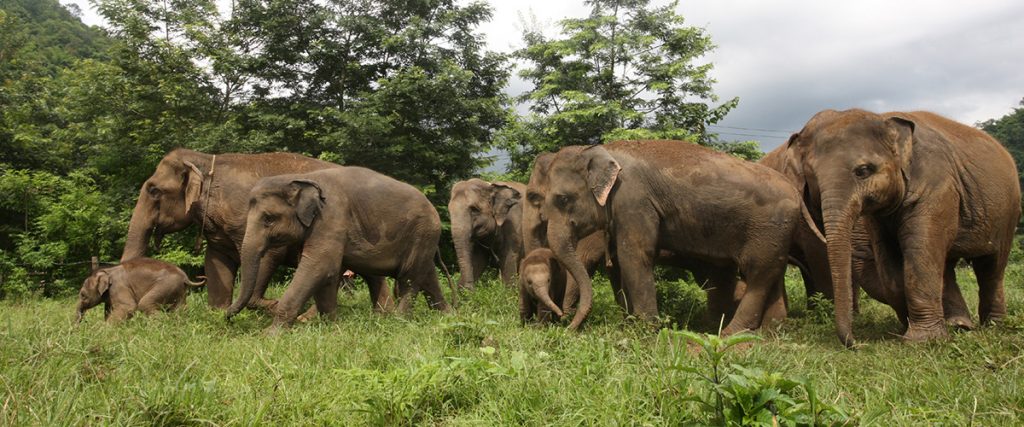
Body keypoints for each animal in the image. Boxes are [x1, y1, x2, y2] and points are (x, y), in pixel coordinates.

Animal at [76, 258, 205, 324]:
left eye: (83, 295)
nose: (77, 329)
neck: (106, 271)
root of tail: (185, 277)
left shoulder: (118, 287)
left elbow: (128, 307)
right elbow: (108, 311)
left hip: (166, 285)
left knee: (144, 304)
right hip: (179, 290)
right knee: (180, 309)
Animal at [122, 148, 393, 314]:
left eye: (153, 190)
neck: (206, 161)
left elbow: (267, 254)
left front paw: (269, 305)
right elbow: (216, 262)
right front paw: (218, 314)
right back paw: (384, 315)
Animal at [225, 166, 450, 330]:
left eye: (268, 219)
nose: (225, 316)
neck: (301, 178)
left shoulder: (331, 217)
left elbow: (319, 267)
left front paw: (269, 336)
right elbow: (327, 274)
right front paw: (331, 327)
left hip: (421, 233)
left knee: (408, 277)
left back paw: (399, 322)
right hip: (424, 239)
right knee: (427, 276)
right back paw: (447, 316)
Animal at [542, 140, 799, 333]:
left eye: (563, 199)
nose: (566, 324)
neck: (602, 150)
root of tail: (796, 193)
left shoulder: (634, 199)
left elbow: (634, 256)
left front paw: (645, 331)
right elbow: (619, 263)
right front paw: (630, 326)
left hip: (768, 228)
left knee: (757, 274)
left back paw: (731, 333)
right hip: (775, 234)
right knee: (770, 274)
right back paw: (768, 331)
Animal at [787, 109, 1020, 346]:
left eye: (863, 170)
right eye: (812, 177)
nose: (856, 343)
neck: (883, 118)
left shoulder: (937, 186)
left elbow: (919, 254)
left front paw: (921, 340)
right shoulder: (878, 218)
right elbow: (889, 261)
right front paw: (907, 328)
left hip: (1008, 212)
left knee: (991, 266)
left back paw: (993, 326)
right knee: (947, 266)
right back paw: (960, 325)